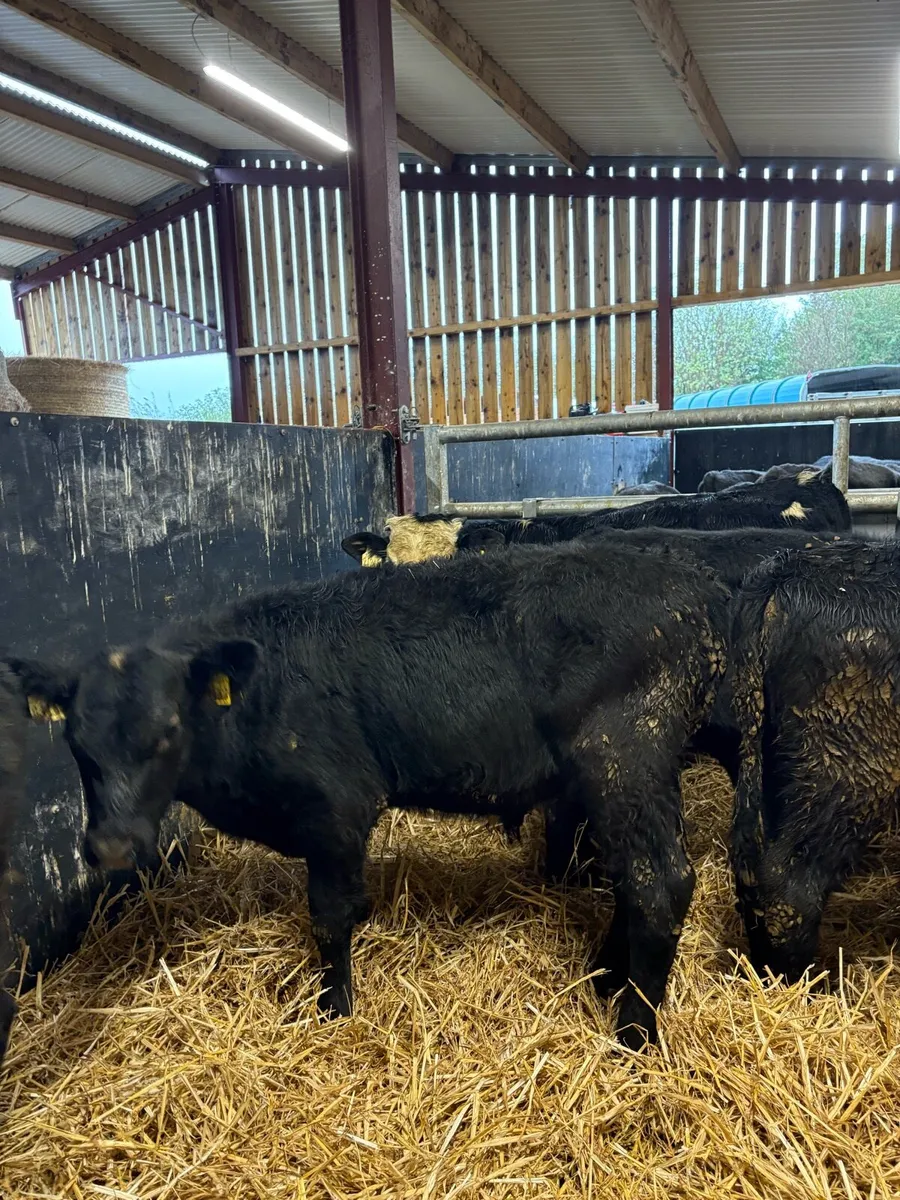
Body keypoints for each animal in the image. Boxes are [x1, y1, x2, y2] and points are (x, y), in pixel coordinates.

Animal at [6, 542, 732, 1048]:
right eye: (76, 742)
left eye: (167, 732)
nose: (110, 846)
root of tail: (694, 593)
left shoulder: (338, 808)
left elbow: (329, 917)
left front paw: (333, 1010)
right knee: (630, 879)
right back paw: (608, 978)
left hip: (626, 758)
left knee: (660, 882)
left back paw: (634, 1032)